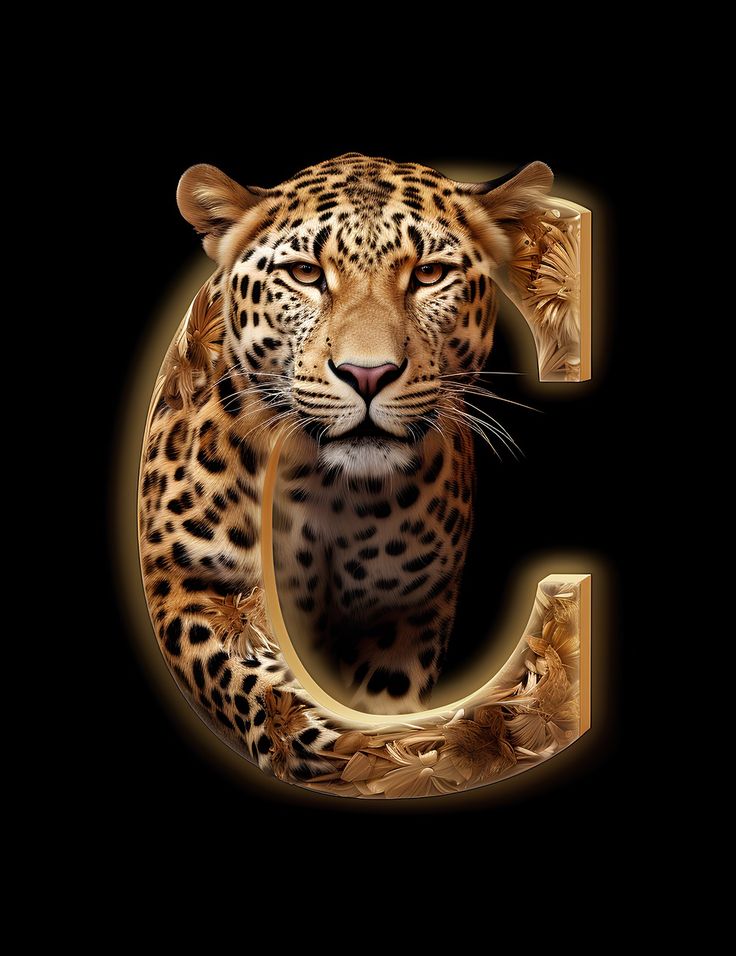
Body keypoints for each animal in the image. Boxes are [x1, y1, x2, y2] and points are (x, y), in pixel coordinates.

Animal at [139, 152, 553, 780]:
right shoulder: (181, 579)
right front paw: (301, 734)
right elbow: (235, 672)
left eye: (429, 274)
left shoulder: (407, 613)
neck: (328, 490)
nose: (367, 374)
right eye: (307, 274)